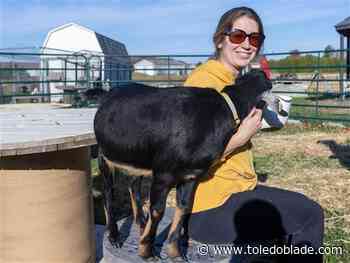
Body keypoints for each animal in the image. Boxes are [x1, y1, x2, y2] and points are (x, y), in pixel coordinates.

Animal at [93, 69, 274, 260]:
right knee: (108, 192)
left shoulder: (191, 175)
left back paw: (141, 223)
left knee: (133, 184)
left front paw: (176, 253)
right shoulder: (163, 174)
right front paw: (147, 252)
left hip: (138, 157)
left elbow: (184, 208)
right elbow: (157, 211)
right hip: (104, 156)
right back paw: (114, 236)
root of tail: (108, 94)